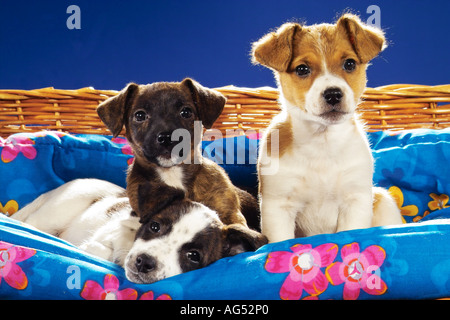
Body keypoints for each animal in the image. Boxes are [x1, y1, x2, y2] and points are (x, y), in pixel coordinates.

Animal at [13, 179, 268, 284]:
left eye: (194, 256)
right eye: (154, 227)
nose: (144, 262)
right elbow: (103, 245)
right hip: (57, 211)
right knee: (32, 223)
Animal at [251, 13, 402, 242]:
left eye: (349, 64)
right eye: (302, 69)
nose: (333, 94)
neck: (322, 141)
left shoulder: (355, 201)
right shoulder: (278, 207)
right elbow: (281, 241)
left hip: (383, 200)